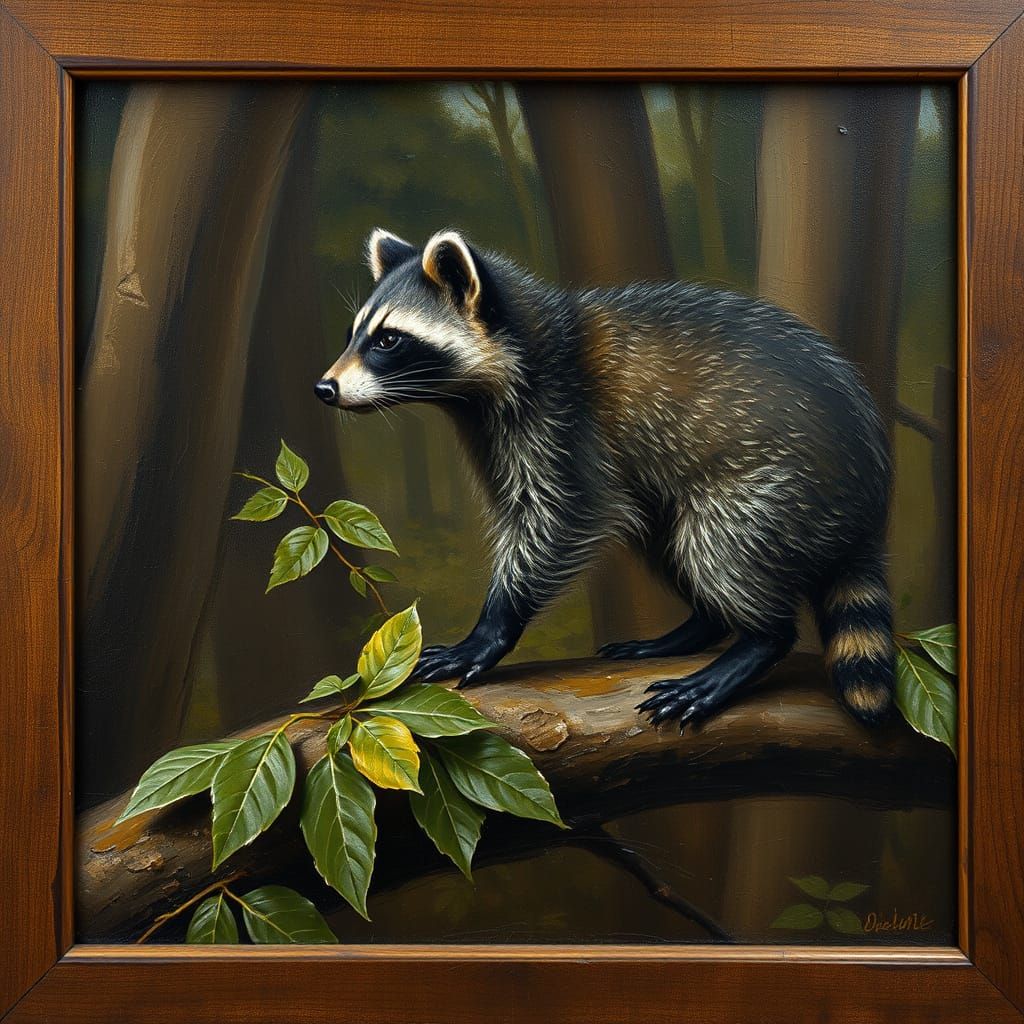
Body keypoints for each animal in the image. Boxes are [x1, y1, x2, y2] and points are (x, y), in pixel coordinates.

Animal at [315, 228, 893, 729]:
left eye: (389, 340)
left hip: (775, 481)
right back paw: (702, 624)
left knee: (721, 547)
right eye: (352, 334)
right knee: (671, 544)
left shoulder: (564, 419)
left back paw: (758, 636)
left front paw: (492, 627)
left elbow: (556, 522)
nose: (325, 388)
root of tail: (869, 501)